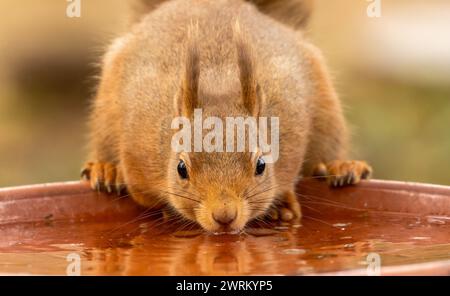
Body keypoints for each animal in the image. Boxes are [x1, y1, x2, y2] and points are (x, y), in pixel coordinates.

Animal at [81, 0, 372, 234]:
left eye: (261, 165)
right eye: (181, 169)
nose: (224, 215)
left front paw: (282, 205)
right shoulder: (138, 157)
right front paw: (166, 210)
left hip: (327, 113)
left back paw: (340, 167)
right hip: (105, 113)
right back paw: (107, 170)